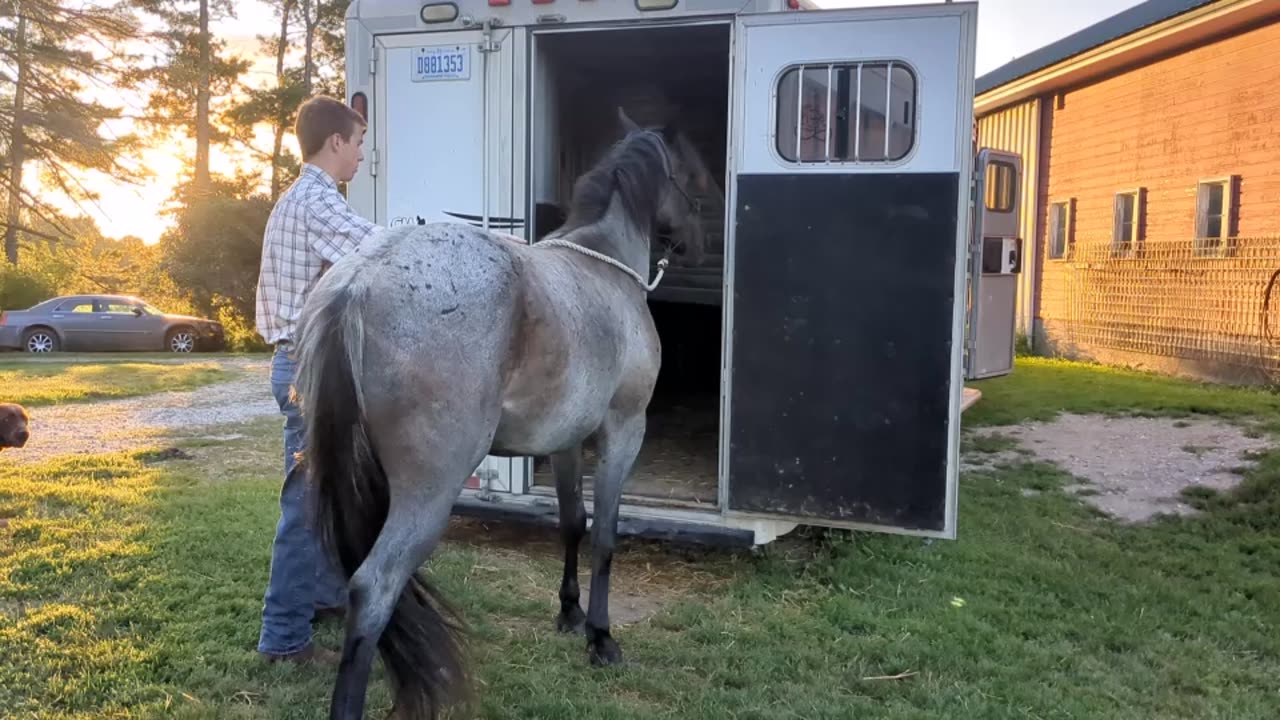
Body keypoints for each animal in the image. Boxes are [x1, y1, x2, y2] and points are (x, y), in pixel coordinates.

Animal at [293, 107, 721, 717]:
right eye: (695, 174)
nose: (700, 245)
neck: (605, 268)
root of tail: (360, 282)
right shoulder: (622, 430)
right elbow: (606, 534)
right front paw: (601, 637)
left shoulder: (567, 440)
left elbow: (572, 522)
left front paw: (569, 613)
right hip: (429, 492)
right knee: (374, 587)